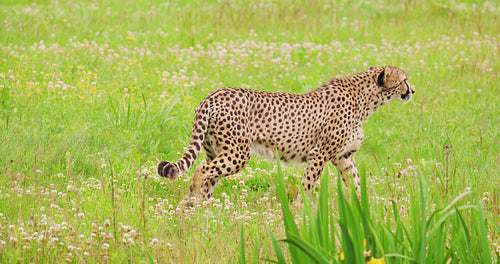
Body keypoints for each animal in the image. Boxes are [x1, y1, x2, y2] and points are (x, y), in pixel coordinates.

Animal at [159, 65, 414, 200]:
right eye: (404, 80)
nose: (412, 90)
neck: (367, 100)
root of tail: (213, 95)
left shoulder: (344, 157)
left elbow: (356, 183)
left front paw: (363, 211)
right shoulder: (319, 154)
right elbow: (309, 184)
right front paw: (304, 211)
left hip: (214, 150)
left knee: (209, 176)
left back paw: (200, 210)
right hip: (238, 153)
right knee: (200, 171)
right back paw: (193, 201)